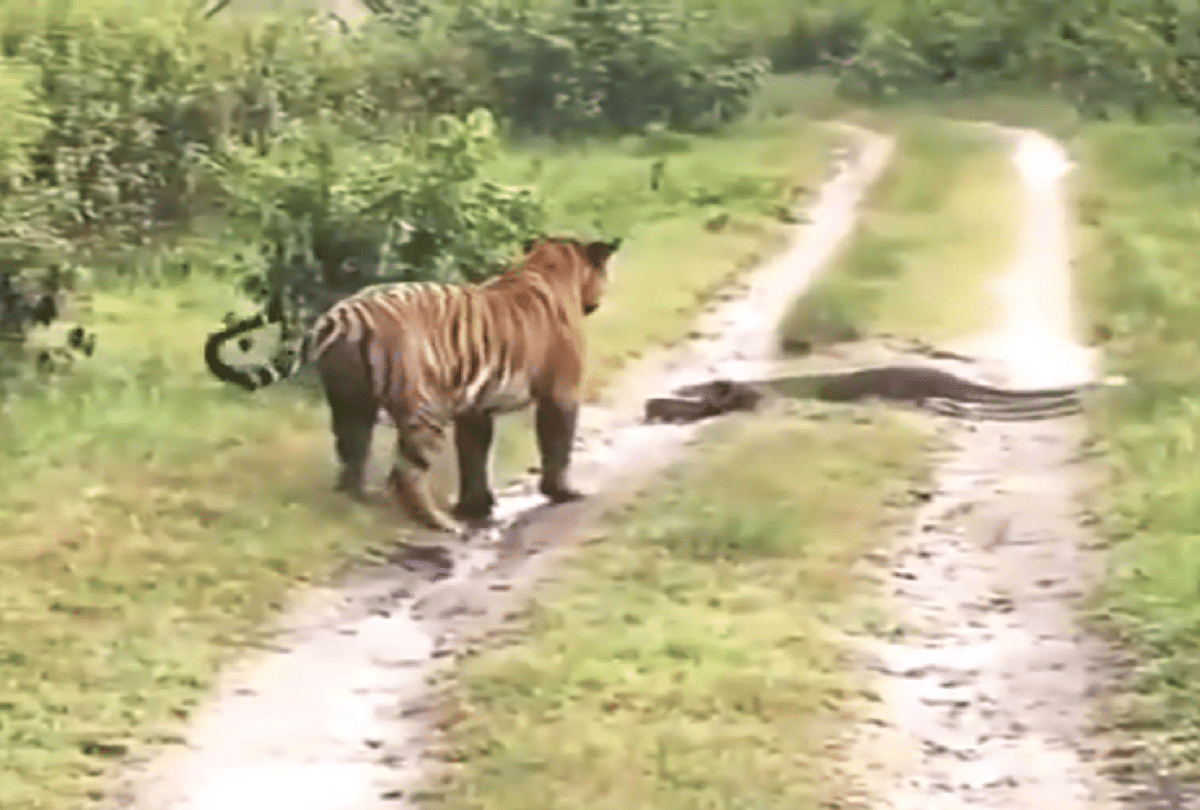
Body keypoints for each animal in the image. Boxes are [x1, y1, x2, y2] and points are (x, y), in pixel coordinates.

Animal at [204, 234, 622, 534]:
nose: (598, 300)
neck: (548, 268)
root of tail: (342, 313)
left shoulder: (474, 407)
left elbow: (474, 455)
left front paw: (476, 505)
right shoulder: (561, 393)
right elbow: (557, 445)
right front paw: (563, 493)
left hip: (349, 402)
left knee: (351, 453)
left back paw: (360, 500)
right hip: (425, 409)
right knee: (405, 474)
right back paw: (439, 523)